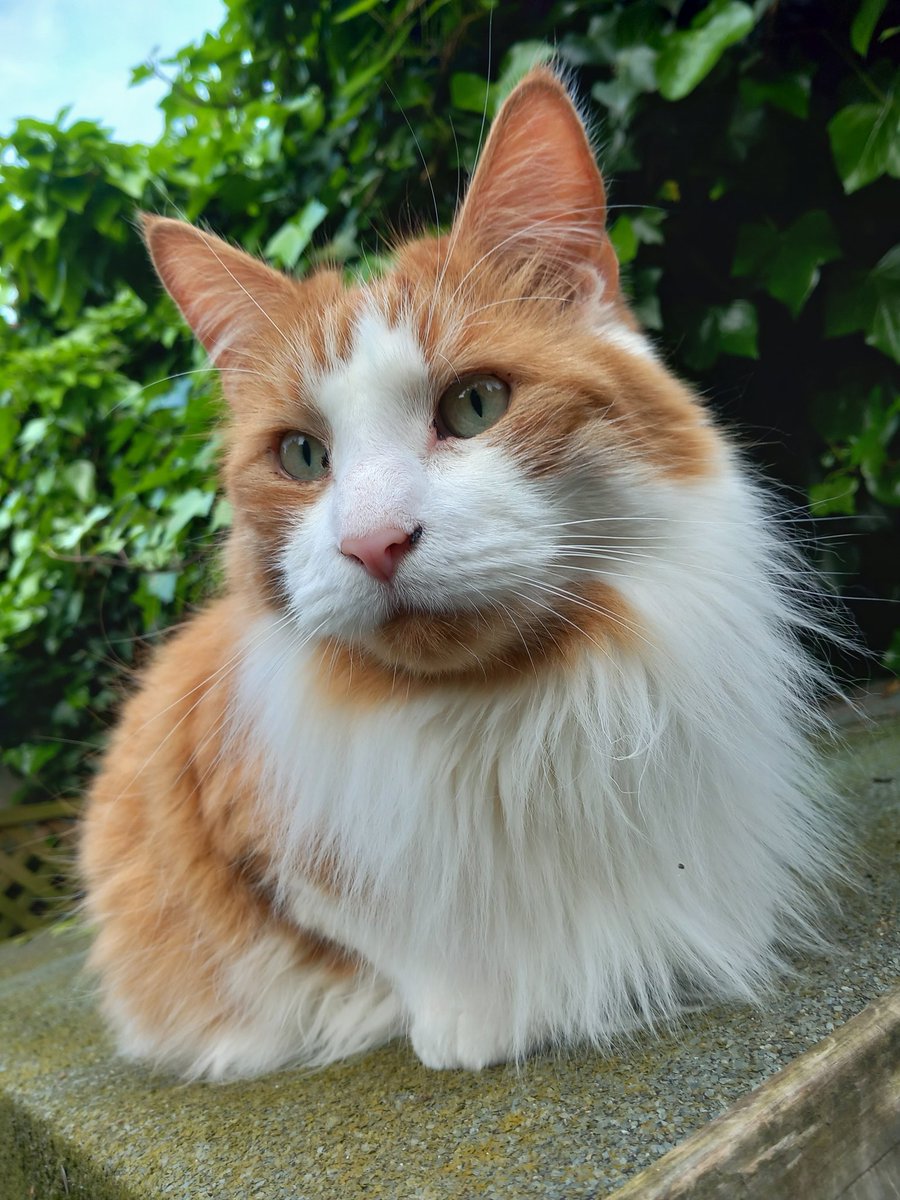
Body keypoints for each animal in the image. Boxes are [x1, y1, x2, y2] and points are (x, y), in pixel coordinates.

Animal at [81, 63, 844, 1080]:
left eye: (476, 405)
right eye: (302, 457)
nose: (373, 542)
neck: (508, 710)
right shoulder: (248, 833)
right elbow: (391, 940)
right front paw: (474, 1016)